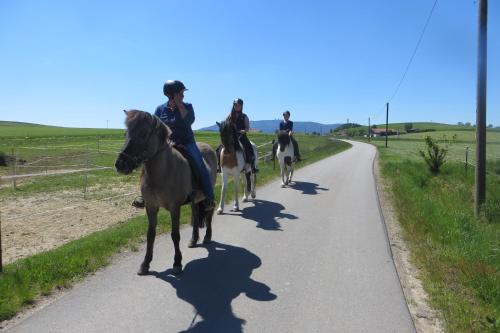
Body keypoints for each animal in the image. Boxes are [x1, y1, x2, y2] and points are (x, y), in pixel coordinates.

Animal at [115, 110, 217, 274]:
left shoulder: (175, 208)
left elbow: (175, 235)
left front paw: (177, 263)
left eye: (143, 134)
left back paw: (207, 236)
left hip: (208, 194)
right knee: (196, 215)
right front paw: (145, 264)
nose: (120, 164)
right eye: (126, 133)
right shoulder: (150, 206)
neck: (162, 172)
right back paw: (194, 239)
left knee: (208, 213)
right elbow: (150, 234)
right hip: (194, 199)